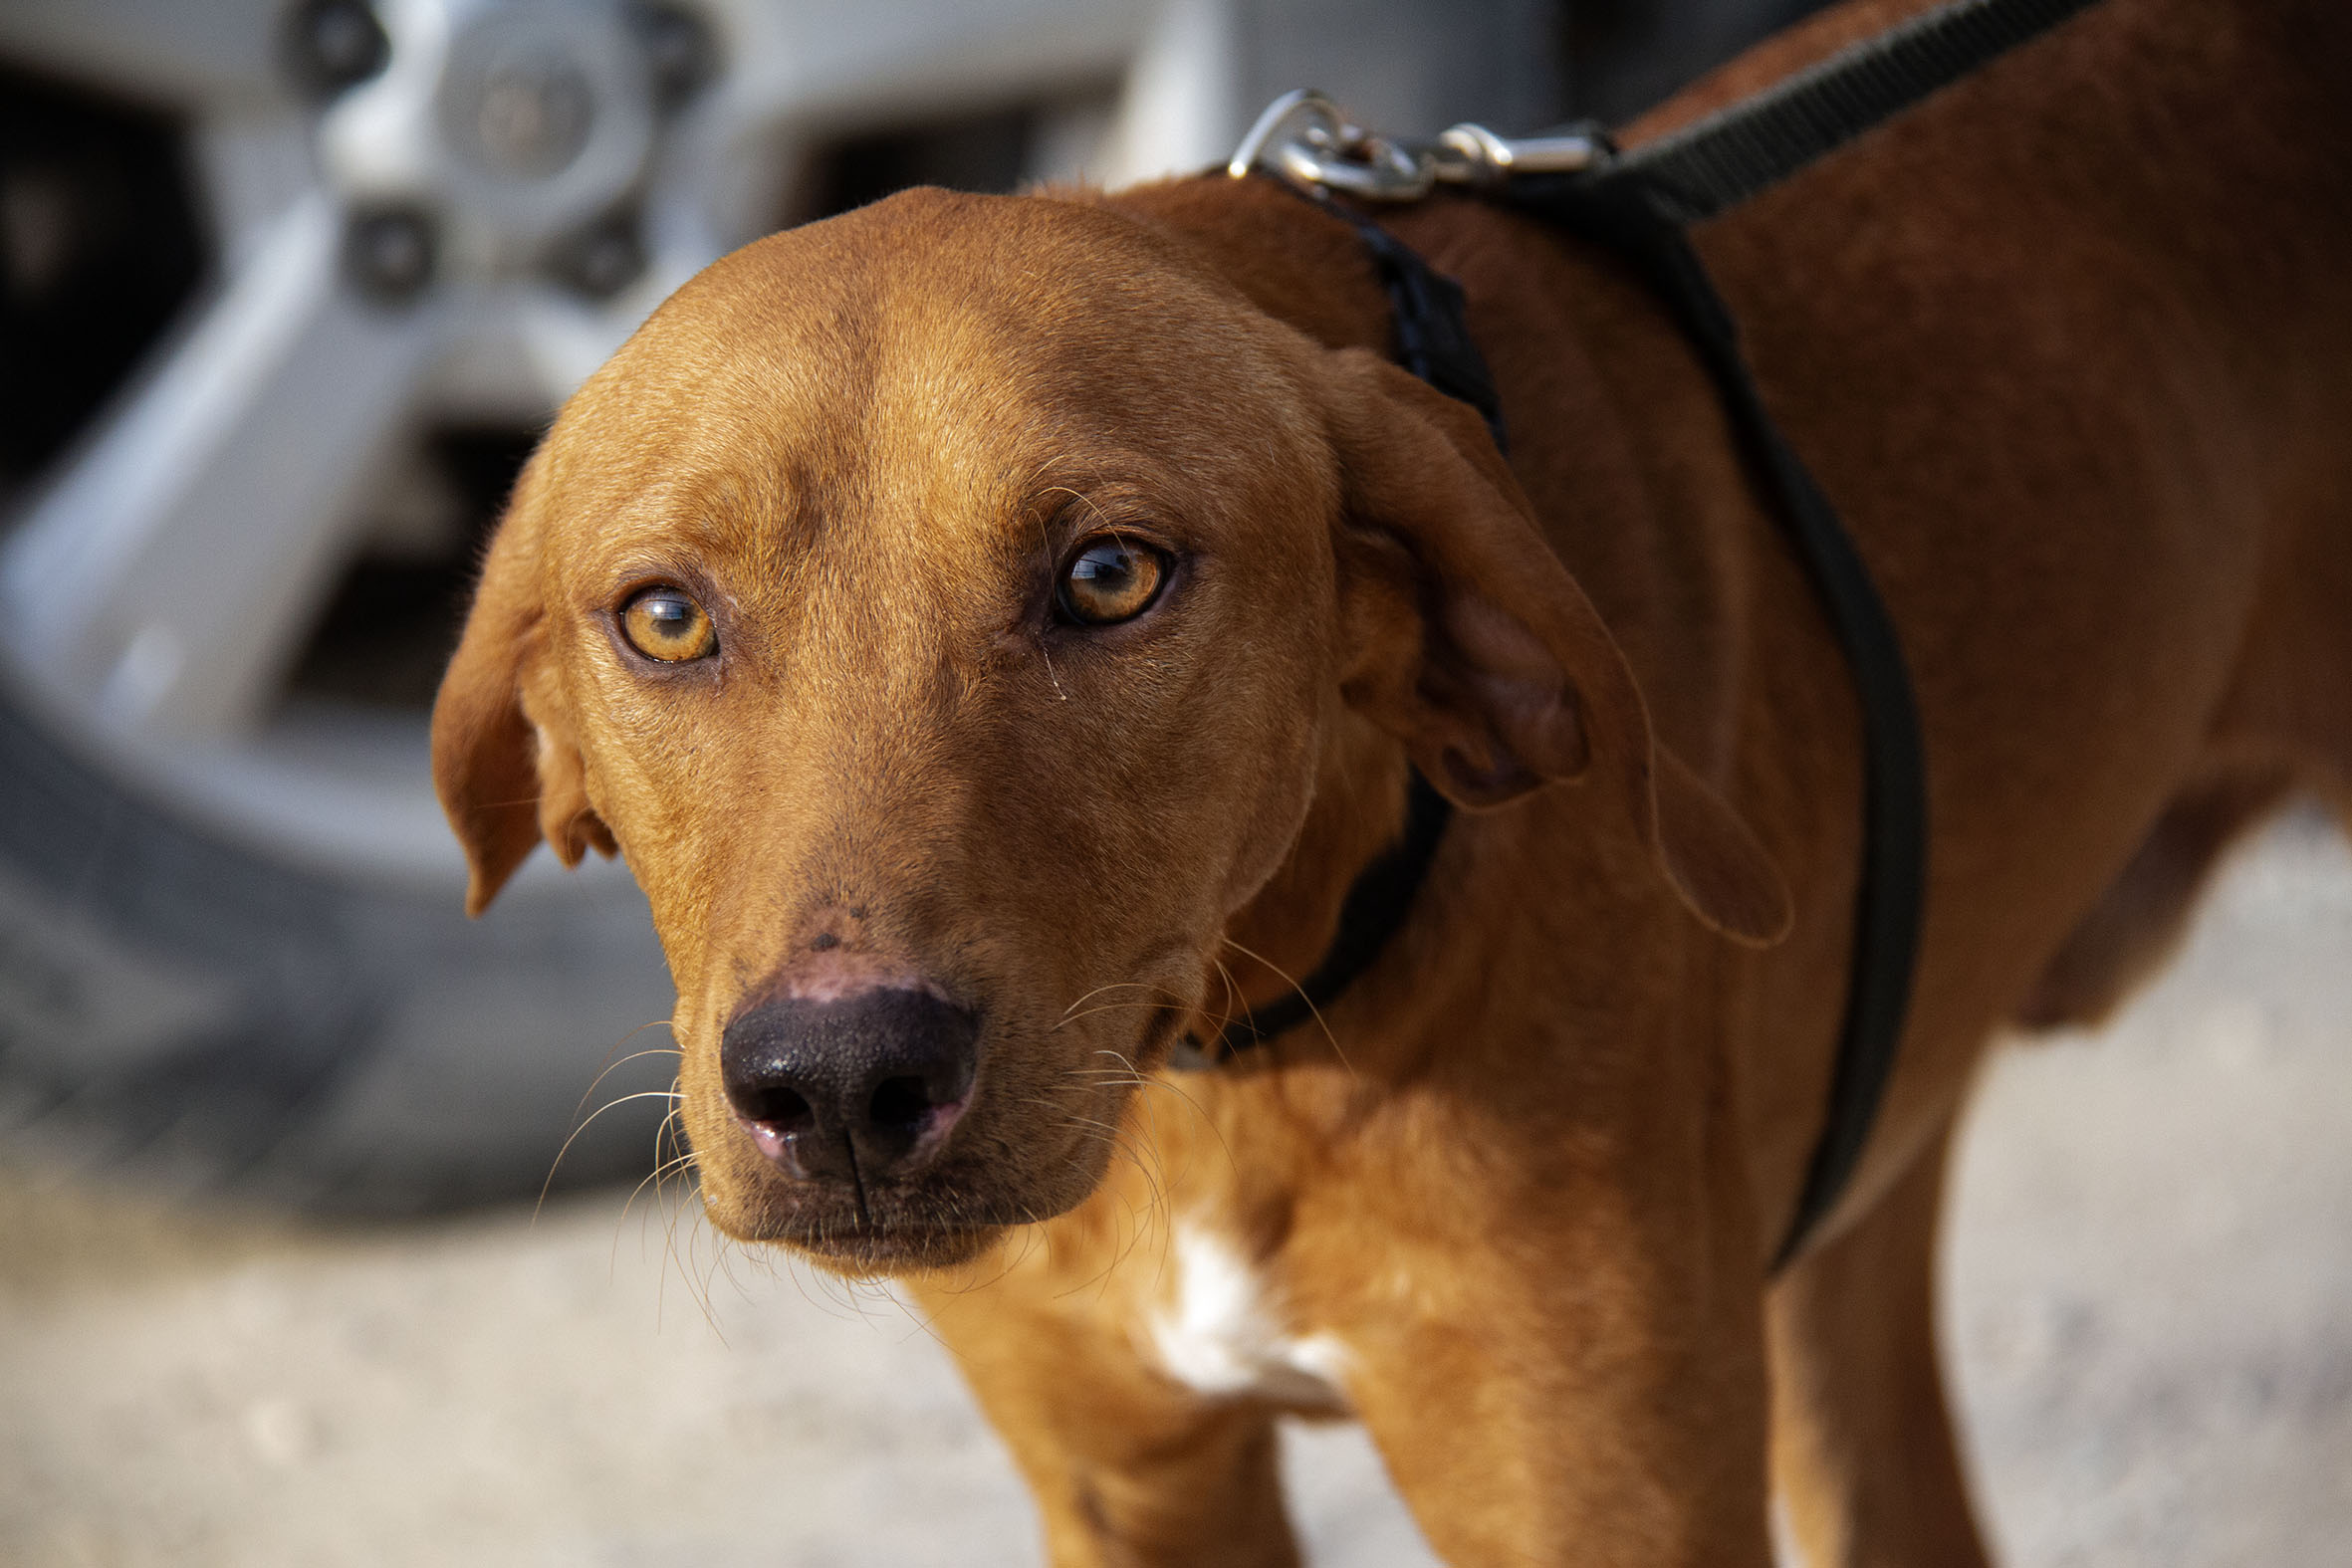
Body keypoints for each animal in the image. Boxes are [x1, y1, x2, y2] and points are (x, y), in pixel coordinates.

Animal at [430, 0, 2351, 1559]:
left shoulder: (1599, 1499)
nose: (837, 1087)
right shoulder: (1129, 1484)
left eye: (1109, 575)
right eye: (664, 616)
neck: (1226, 1070)